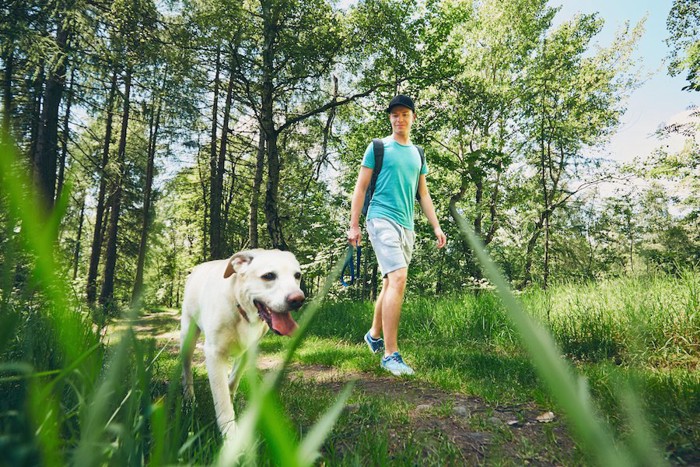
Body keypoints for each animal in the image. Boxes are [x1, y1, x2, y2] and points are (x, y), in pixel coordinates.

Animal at [180, 250, 304, 436]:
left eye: (297, 275)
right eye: (269, 276)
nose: (298, 299)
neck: (241, 310)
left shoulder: (249, 350)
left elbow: (232, 382)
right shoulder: (214, 354)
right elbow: (222, 397)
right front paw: (230, 435)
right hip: (187, 337)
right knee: (187, 369)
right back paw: (189, 399)